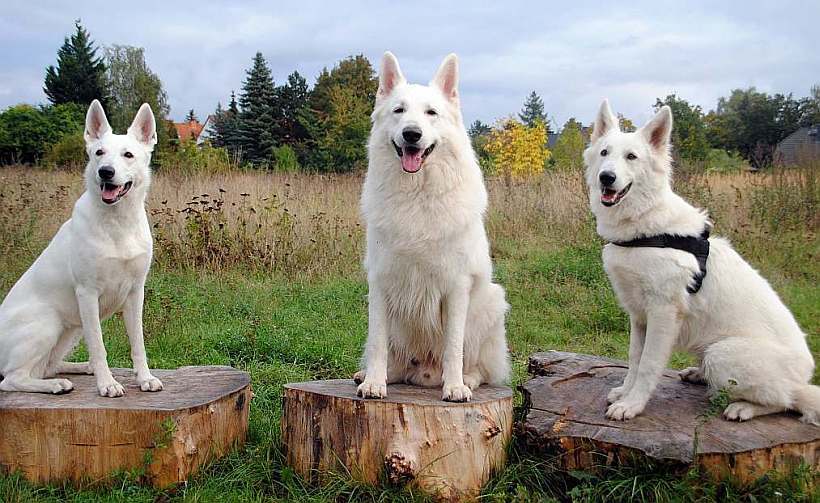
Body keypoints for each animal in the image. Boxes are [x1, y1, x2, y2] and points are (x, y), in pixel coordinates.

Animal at [0, 99, 163, 398]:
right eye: (99, 153)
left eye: (128, 155)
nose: (105, 172)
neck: (117, 224)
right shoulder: (87, 294)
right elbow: (99, 347)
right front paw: (107, 383)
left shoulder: (136, 293)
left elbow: (138, 344)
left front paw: (144, 378)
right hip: (49, 323)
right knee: (13, 379)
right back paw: (57, 385)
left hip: (71, 329)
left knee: (47, 366)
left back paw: (79, 369)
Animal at [356, 53, 510, 404]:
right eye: (399, 110)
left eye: (431, 113)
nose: (412, 134)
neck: (417, 193)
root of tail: (423, 373)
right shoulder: (380, 282)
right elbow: (377, 342)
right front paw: (374, 383)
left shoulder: (456, 287)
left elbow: (453, 347)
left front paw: (454, 387)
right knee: (395, 359)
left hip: (492, 303)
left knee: (480, 367)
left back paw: (465, 380)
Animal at [584, 100, 820, 428]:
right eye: (605, 152)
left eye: (631, 157)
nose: (606, 177)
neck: (646, 224)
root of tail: (803, 376)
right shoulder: (639, 316)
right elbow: (634, 358)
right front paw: (624, 392)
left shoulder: (663, 314)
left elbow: (648, 365)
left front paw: (633, 405)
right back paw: (698, 375)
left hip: (721, 354)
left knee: (788, 399)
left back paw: (743, 407)